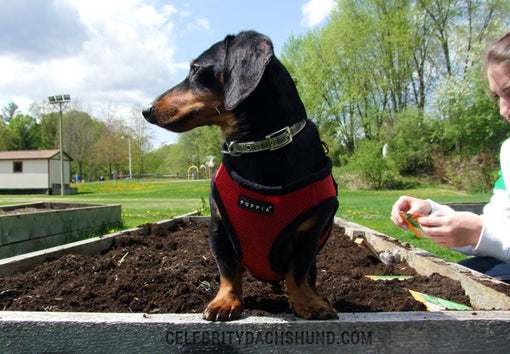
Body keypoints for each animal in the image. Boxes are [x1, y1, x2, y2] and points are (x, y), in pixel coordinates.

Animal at [142, 30, 338, 320]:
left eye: (196, 69)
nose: (145, 109)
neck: (261, 148)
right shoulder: (219, 228)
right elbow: (227, 270)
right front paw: (226, 301)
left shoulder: (310, 231)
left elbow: (299, 271)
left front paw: (307, 302)